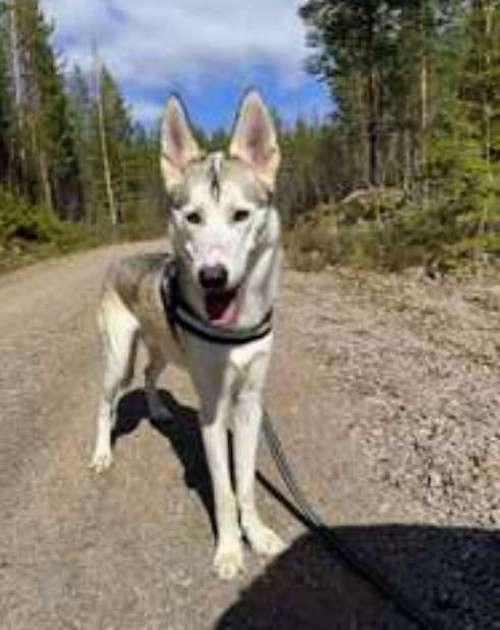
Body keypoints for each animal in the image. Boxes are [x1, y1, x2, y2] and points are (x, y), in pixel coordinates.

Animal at [89, 90, 285, 579]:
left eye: (240, 215)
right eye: (193, 217)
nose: (212, 276)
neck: (236, 328)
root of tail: (120, 259)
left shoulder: (250, 402)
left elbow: (245, 485)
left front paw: (257, 536)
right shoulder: (213, 410)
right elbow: (225, 490)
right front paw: (230, 551)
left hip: (161, 351)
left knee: (149, 377)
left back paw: (159, 410)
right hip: (117, 359)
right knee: (105, 403)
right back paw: (101, 454)